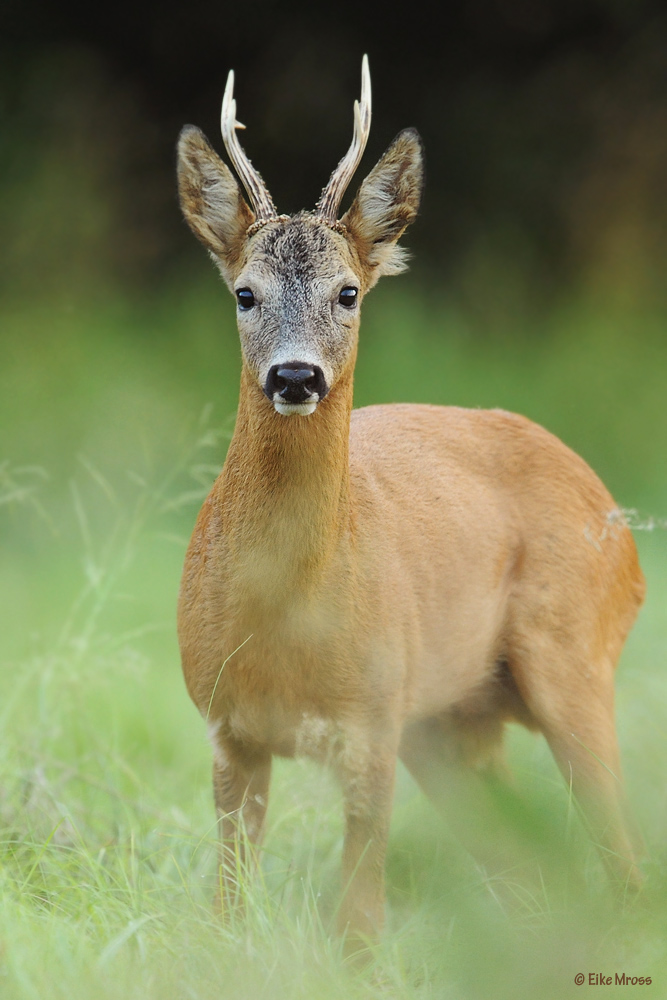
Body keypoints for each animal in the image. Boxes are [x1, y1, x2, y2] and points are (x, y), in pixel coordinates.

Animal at [175, 56, 644, 952]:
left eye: (348, 293)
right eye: (245, 294)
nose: (296, 376)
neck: (285, 620)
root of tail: (620, 522)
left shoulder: (371, 717)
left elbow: (359, 921)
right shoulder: (227, 727)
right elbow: (225, 910)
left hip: (574, 657)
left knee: (621, 863)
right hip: (453, 722)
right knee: (528, 873)